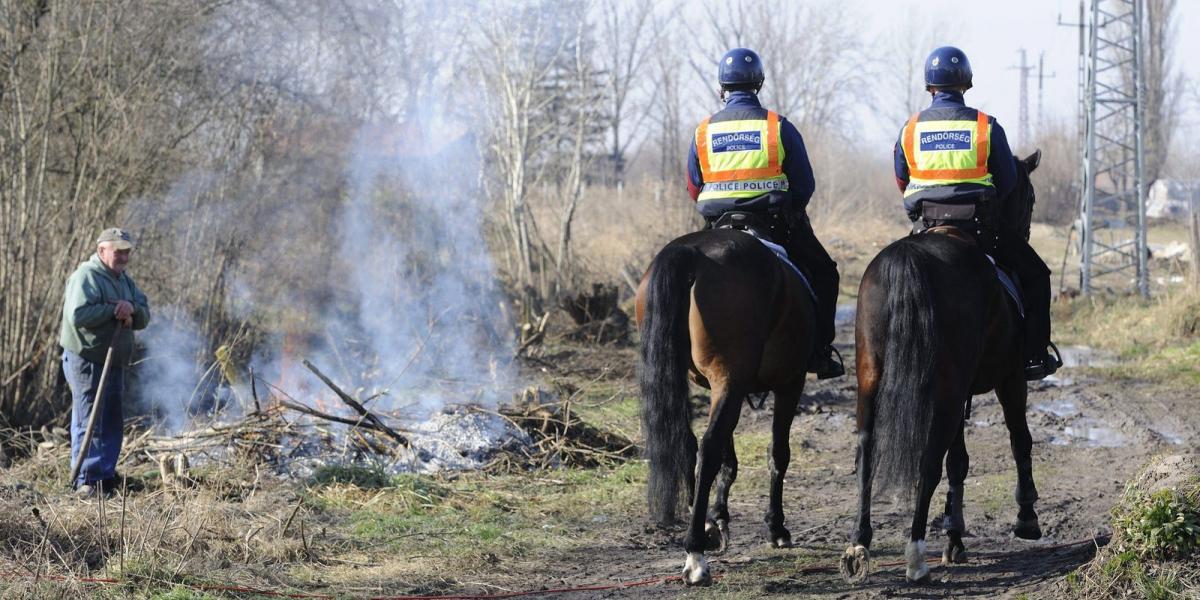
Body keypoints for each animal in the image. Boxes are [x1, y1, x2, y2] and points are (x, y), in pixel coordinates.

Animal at [638, 226, 816, 583]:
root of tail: (692, 251)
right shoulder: (790, 382)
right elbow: (777, 454)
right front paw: (776, 528)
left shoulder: (720, 386)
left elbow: (728, 458)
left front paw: (718, 516)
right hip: (732, 379)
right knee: (708, 449)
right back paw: (695, 556)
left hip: (705, 379)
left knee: (690, 443)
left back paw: (704, 528)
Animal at [840, 152, 1046, 583]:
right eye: (1030, 197)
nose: (1024, 231)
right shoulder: (1010, 379)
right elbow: (1018, 440)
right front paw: (1026, 516)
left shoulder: (962, 389)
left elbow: (959, 461)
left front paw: (955, 535)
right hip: (949, 392)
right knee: (928, 461)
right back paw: (916, 555)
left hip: (871, 379)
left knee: (867, 452)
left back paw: (858, 543)